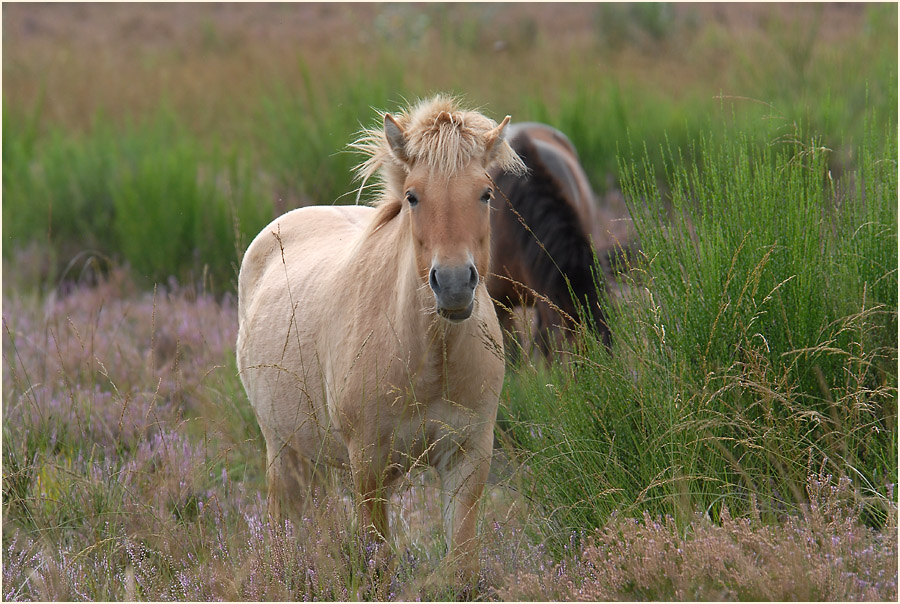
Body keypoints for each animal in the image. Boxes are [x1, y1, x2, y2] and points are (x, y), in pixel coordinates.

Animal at [236, 94, 524, 576]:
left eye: (486, 193)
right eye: (413, 196)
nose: (452, 284)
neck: (432, 357)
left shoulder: (468, 457)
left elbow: (462, 565)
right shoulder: (368, 462)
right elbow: (377, 561)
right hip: (281, 447)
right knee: (280, 524)